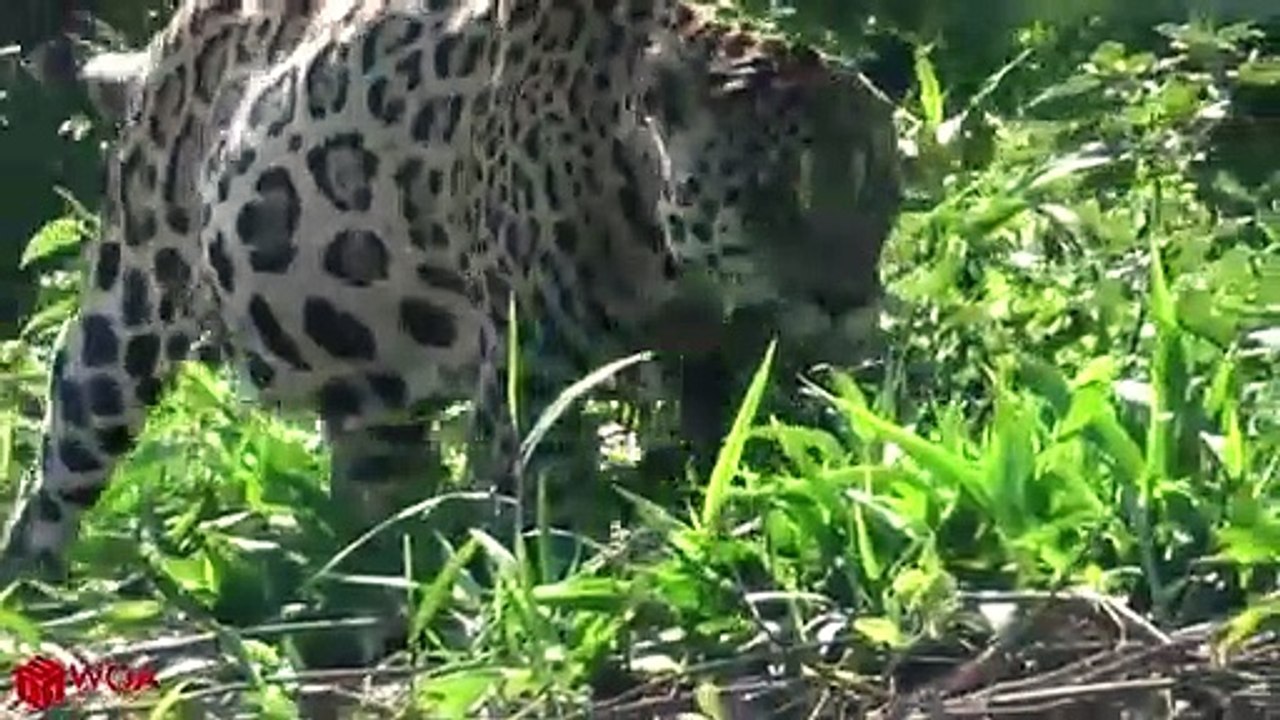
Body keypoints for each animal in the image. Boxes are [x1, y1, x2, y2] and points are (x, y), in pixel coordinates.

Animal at [0, 0, 901, 607]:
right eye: (767, 200)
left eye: (881, 191)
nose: (847, 301)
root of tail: (172, 38)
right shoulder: (532, 375)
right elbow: (553, 497)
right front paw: (591, 578)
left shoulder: (722, 360)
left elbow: (727, 440)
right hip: (131, 295)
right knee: (67, 452)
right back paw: (29, 589)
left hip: (365, 383)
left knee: (379, 483)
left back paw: (392, 586)